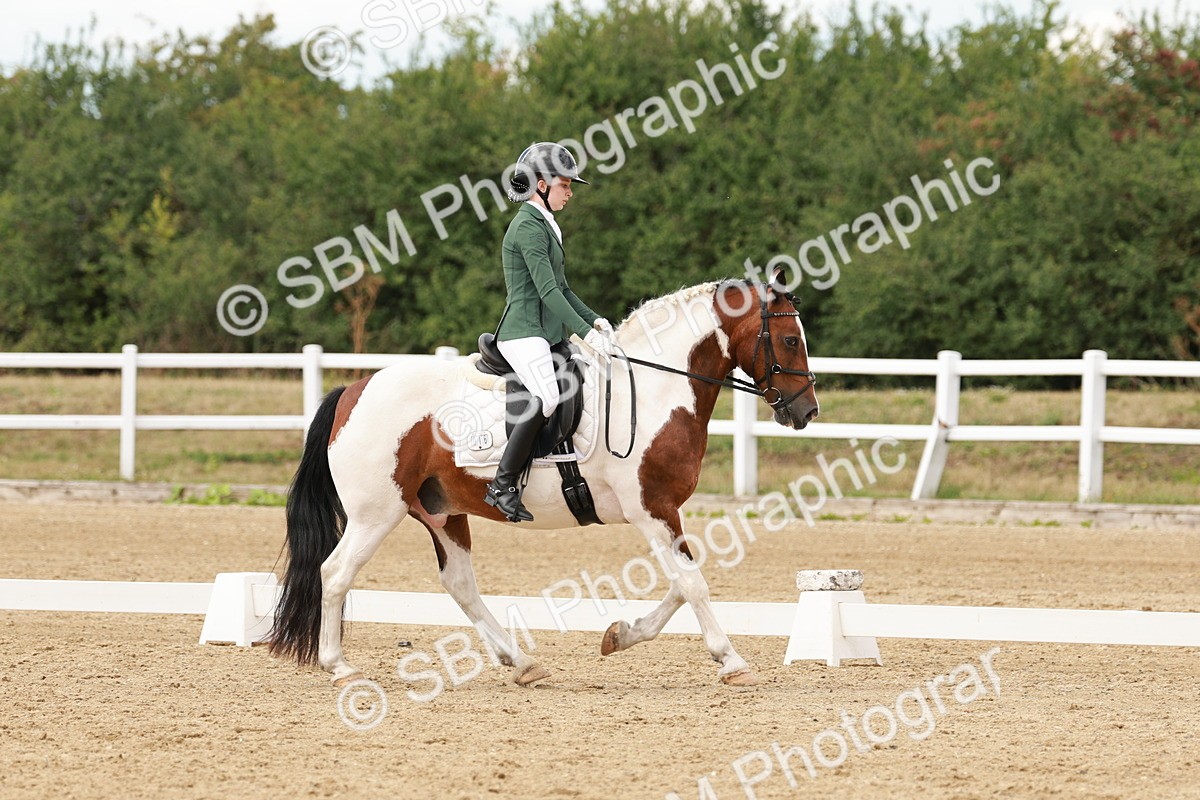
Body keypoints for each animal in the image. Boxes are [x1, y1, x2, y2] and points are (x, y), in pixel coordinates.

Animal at [267, 276, 819, 688]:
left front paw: (620, 634)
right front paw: (732, 661)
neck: (655, 389)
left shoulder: (660, 512)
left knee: (459, 584)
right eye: (790, 340)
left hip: (441, 511)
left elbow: (682, 586)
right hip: (376, 513)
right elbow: (692, 583)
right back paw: (339, 666)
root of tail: (352, 390)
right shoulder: (653, 508)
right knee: (336, 571)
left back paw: (522, 663)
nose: (806, 412)